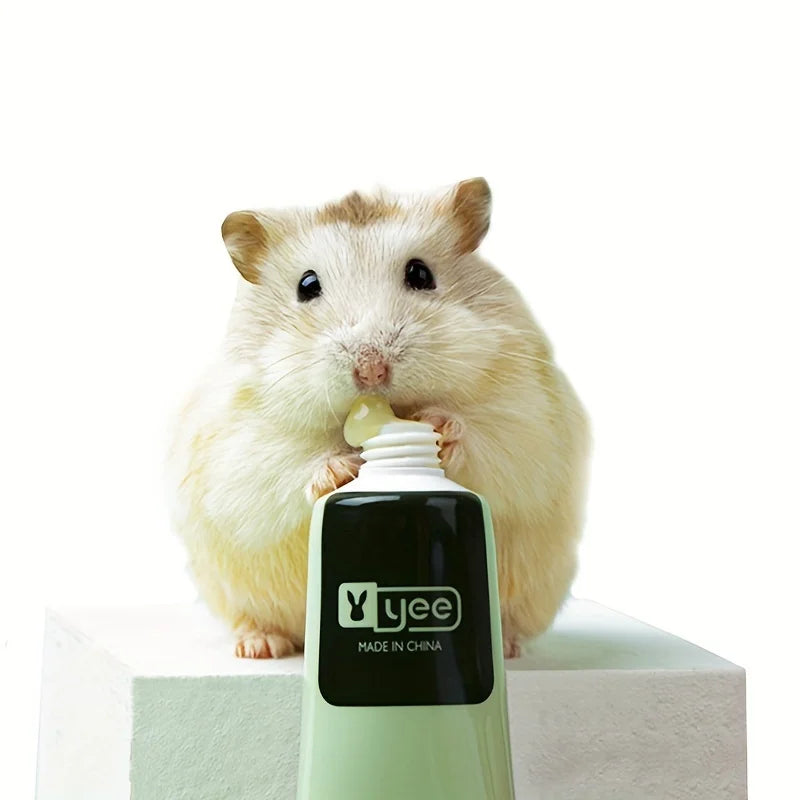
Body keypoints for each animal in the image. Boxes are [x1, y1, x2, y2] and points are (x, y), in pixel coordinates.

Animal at [167, 178, 590, 659]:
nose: (371, 369)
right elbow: (286, 463)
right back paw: (260, 646)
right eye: (307, 285)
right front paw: (340, 470)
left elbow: (493, 437)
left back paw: (507, 646)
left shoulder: (528, 408)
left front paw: (440, 428)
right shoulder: (236, 437)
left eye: (421, 274)